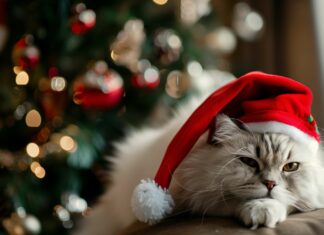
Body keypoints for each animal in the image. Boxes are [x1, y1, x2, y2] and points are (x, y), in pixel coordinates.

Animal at [74, 102, 324, 234]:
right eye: (250, 162)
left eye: (290, 167)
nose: (271, 184)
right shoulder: (197, 197)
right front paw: (258, 210)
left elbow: (289, 200)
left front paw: (264, 209)